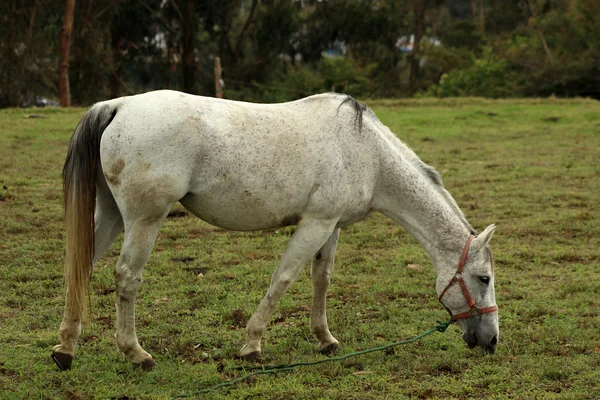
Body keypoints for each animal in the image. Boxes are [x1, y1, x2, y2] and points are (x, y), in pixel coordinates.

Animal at [51, 90, 500, 372]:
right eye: (484, 278)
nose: (491, 340)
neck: (367, 153)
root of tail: (118, 105)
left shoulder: (330, 225)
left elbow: (321, 278)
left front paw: (325, 339)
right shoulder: (314, 224)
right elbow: (283, 278)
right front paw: (252, 344)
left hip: (111, 215)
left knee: (81, 268)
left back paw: (65, 350)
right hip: (144, 221)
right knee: (127, 277)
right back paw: (136, 354)